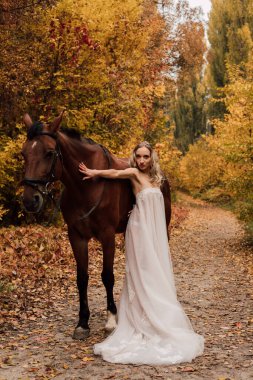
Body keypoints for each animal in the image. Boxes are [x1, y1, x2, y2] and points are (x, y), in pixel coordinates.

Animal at [21, 111, 172, 340]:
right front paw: (83, 322)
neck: (86, 186)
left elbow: (107, 276)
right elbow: (82, 278)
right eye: (23, 153)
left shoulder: (106, 235)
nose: (31, 200)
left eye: (49, 153)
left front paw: (111, 319)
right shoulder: (76, 236)